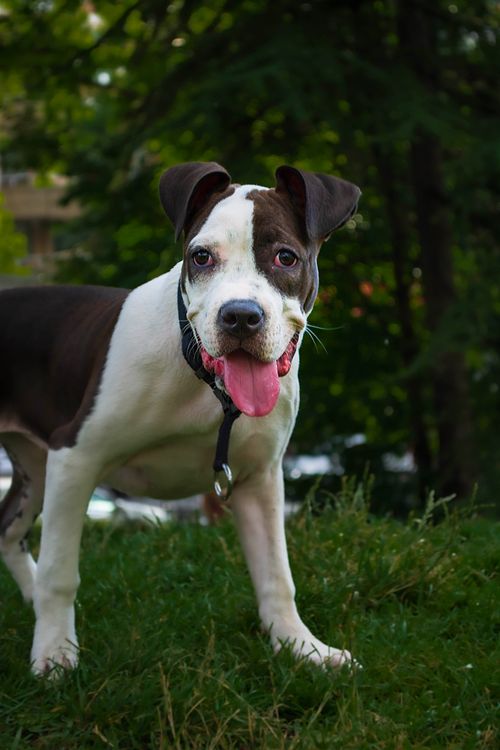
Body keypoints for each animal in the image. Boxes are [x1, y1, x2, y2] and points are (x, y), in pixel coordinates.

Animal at [0, 163, 360, 676]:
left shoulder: (259, 478)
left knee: (7, 530)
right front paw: (54, 655)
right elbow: (60, 571)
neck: (207, 386)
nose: (241, 316)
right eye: (201, 257)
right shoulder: (76, 457)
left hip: (36, 464)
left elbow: (276, 574)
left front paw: (301, 647)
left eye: (286, 257)